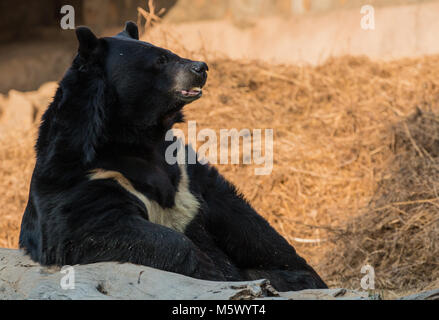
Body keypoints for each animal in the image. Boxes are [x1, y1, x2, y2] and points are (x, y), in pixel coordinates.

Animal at [19, 21, 326, 292]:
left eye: (167, 52)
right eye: (161, 60)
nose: (201, 67)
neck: (137, 136)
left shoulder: (184, 167)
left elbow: (246, 223)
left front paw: (303, 274)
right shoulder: (81, 175)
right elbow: (92, 227)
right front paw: (212, 271)